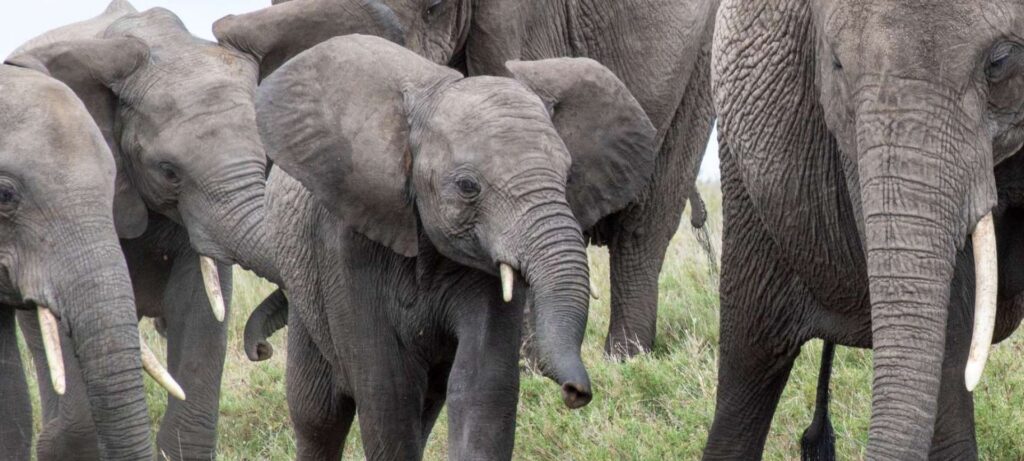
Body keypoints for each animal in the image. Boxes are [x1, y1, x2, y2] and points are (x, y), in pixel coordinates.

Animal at [252, 34, 659, 458]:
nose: (575, 393)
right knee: (317, 413)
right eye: (467, 186)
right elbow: (386, 390)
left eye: (567, 178)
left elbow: (482, 382)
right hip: (304, 289)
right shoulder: (346, 242)